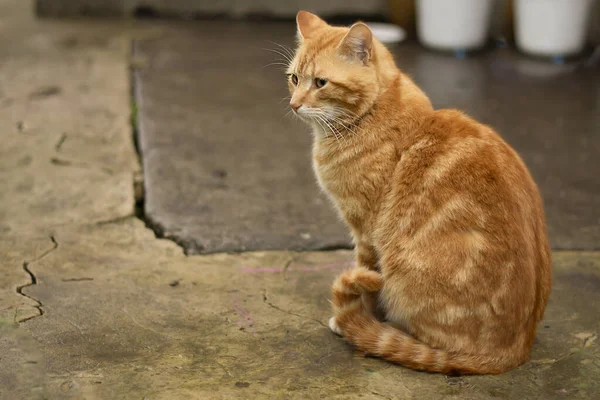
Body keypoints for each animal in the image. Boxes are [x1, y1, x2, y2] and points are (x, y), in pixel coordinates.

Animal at [288, 12, 552, 376]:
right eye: (294, 78)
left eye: (320, 83)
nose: (294, 105)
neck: (372, 114)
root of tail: (513, 352)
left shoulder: (367, 233)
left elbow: (365, 283)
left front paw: (353, 321)